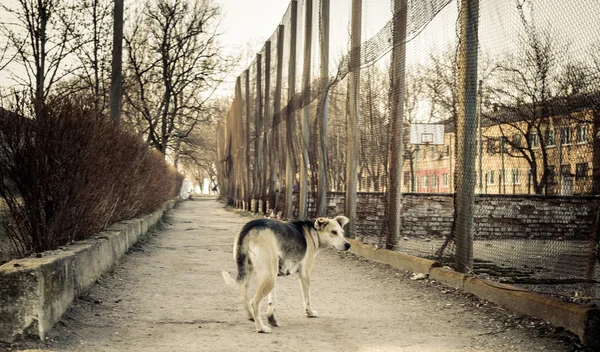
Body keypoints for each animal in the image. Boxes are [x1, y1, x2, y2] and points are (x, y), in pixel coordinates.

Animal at [221, 214, 352, 332]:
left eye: (342, 232)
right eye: (333, 232)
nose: (348, 245)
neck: (313, 232)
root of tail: (248, 228)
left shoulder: (274, 276)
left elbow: (272, 301)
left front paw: (272, 318)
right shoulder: (305, 275)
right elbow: (307, 299)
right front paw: (310, 313)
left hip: (254, 273)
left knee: (245, 298)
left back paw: (251, 317)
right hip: (268, 276)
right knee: (254, 302)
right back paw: (261, 328)